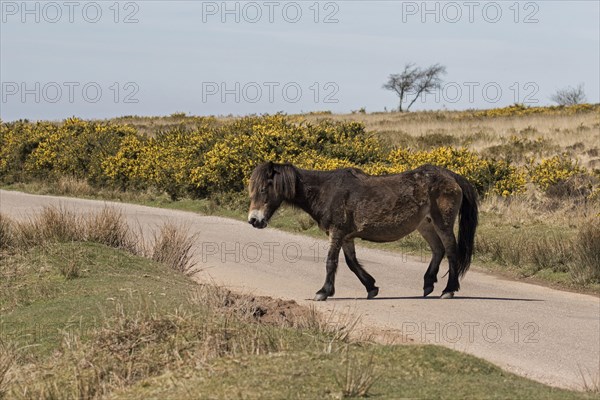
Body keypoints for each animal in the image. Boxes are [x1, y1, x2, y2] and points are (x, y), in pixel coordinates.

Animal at [248, 162, 478, 300]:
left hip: (442, 223)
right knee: (438, 250)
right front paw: (371, 287)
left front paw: (323, 292)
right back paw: (428, 284)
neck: (326, 191)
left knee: (451, 252)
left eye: (263, 189)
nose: (253, 220)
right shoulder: (346, 236)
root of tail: (451, 176)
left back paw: (449, 290)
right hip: (426, 224)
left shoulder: (337, 233)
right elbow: (351, 263)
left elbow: (331, 262)